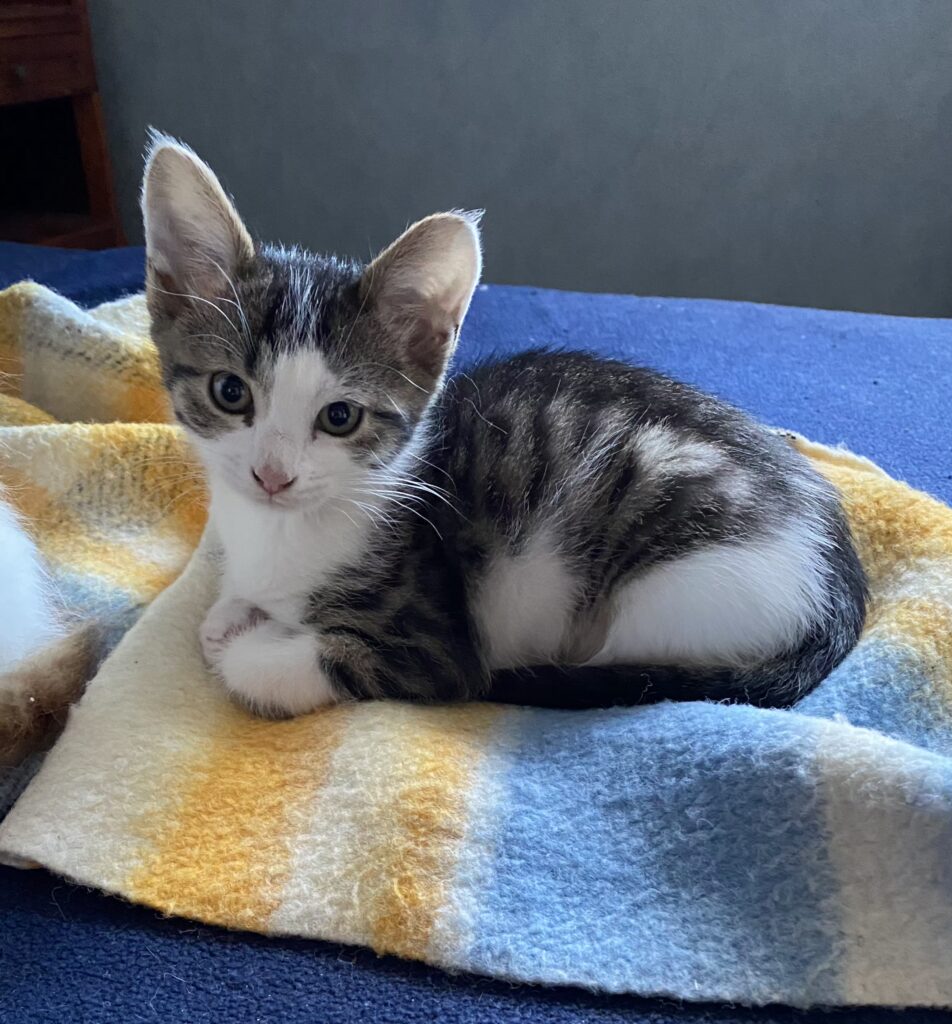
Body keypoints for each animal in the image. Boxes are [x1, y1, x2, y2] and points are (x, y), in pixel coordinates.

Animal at [141, 134, 868, 719]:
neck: (281, 532)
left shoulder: (433, 648)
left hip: (673, 593)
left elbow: (283, 661)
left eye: (340, 417)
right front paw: (233, 610)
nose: (272, 475)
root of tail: (837, 578)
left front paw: (248, 640)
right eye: (230, 391)